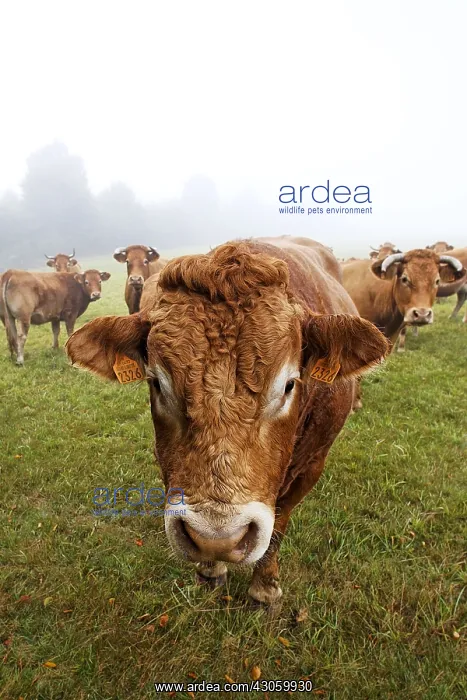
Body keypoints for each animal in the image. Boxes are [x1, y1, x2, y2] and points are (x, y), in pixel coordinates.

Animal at [66, 237, 389, 604]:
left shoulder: (312, 465)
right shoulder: (167, 463)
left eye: (290, 384)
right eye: (157, 382)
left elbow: (279, 524)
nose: (217, 537)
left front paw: (265, 587)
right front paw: (210, 571)